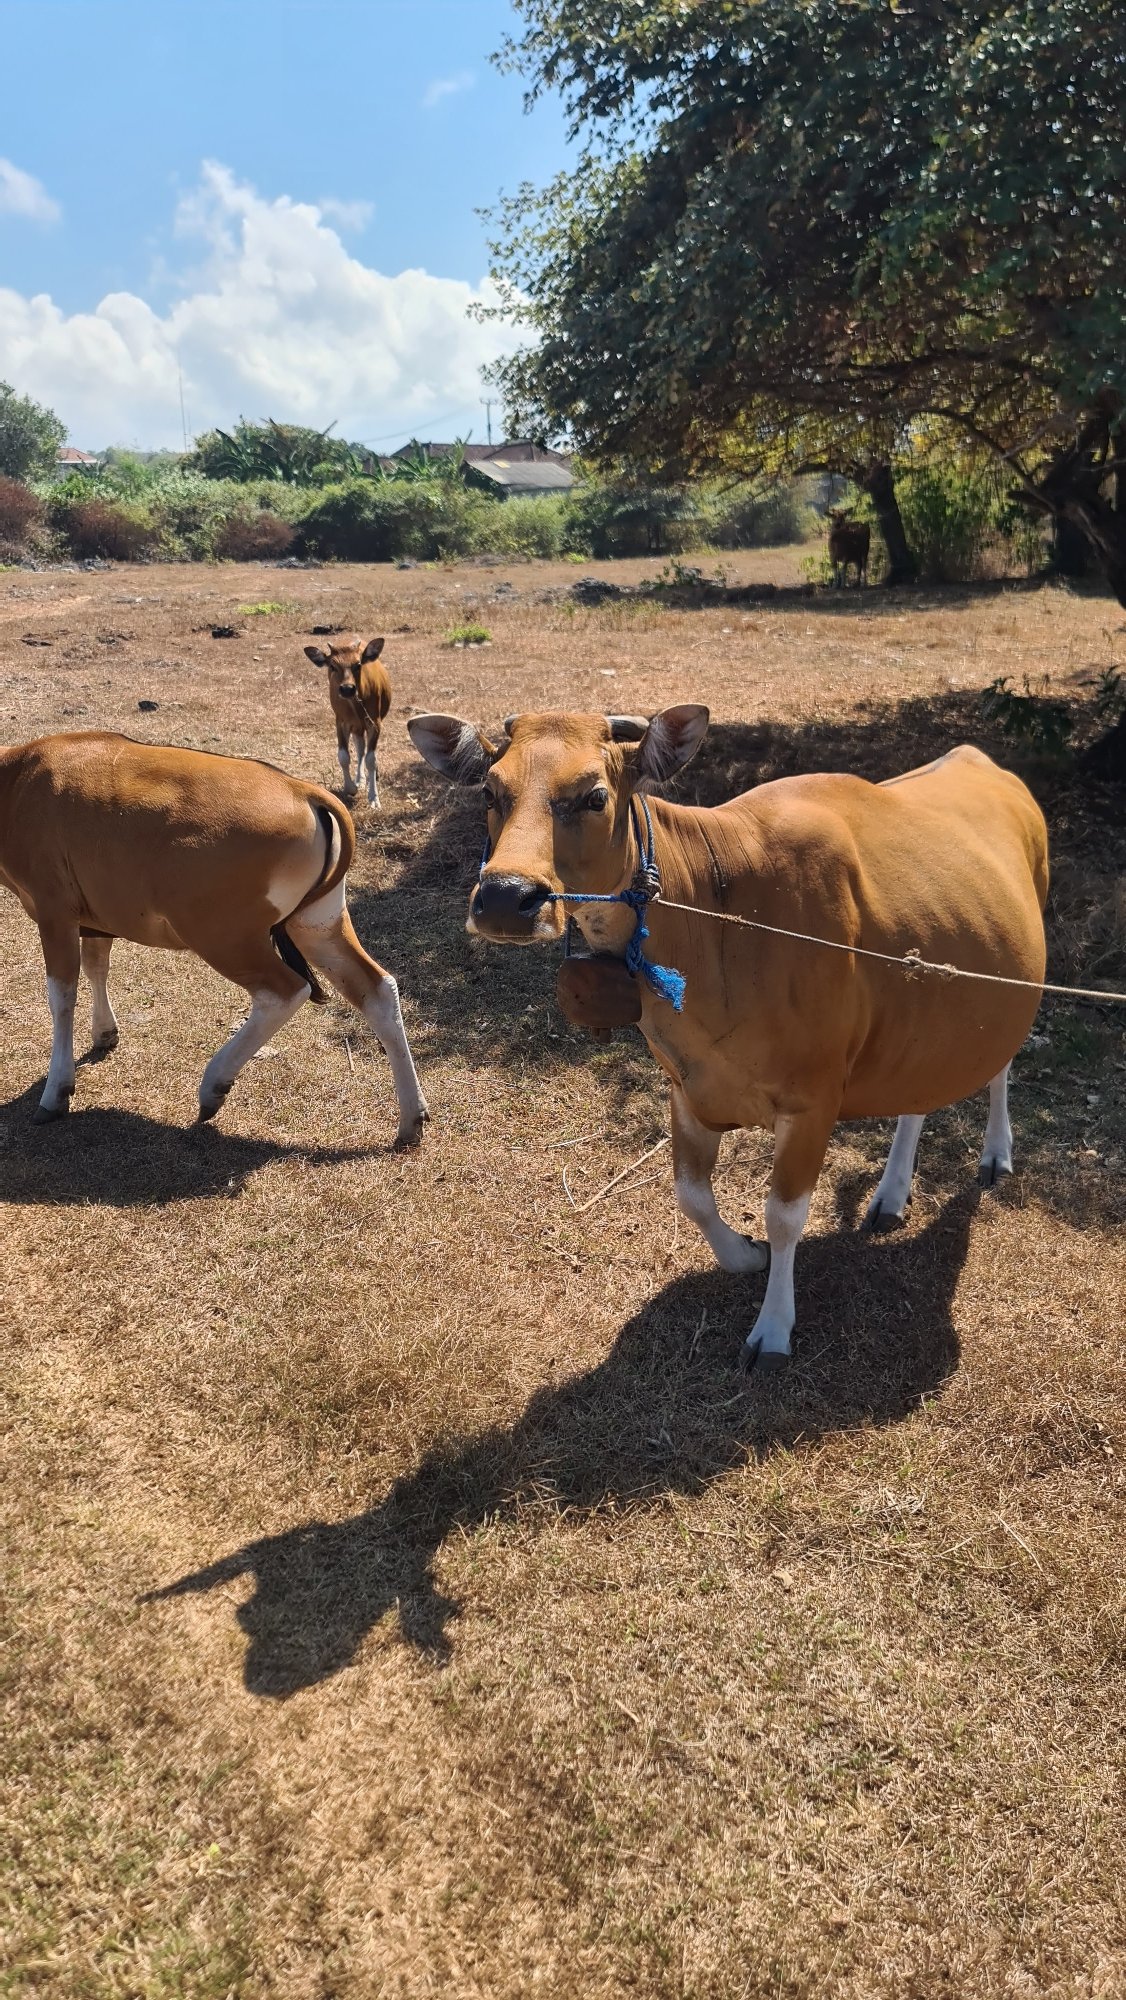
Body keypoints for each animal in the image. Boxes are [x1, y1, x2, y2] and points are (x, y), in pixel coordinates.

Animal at [0, 731, 428, 1145]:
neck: (17, 775)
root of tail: (302, 791)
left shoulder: (54, 913)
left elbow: (62, 996)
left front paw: (56, 1091)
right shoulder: (97, 920)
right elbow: (96, 966)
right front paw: (105, 1033)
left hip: (223, 938)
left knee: (286, 991)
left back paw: (214, 1085)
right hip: (318, 926)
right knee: (377, 990)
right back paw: (412, 1119)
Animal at [304, 637, 391, 806]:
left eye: (358, 664)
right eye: (332, 665)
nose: (347, 688)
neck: (354, 704)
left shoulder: (375, 723)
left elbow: (371, 759)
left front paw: (374, 797)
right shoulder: (341, 722)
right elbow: (344, 756)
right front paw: (351, 788)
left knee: (365, 751)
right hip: (357, 727)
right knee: (360, 749)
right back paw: (360, 779)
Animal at [408, 706, 1048, 1369]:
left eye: (594, 795)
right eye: (490, 791)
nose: (503, 898)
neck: (721, 910)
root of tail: (984, 762)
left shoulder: (812, 1102)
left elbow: (784, 1215)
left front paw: (774, 1327)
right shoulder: (687, 1087)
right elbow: (691, 1194)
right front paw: (742, 1255)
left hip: (1012, 987)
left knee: (999, 1067)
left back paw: (995, 1153)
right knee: (918, 1094)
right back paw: (892, 1192)